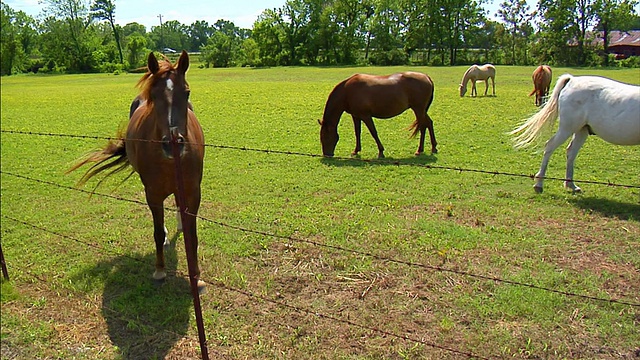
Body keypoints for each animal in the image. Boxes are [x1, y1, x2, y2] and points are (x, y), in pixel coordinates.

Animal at [68, 50, 204, 290]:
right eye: (154, 96)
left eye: (186, 92)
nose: (173, 143)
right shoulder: (153, 194)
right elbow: (157, 232)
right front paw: (160, 270)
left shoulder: (193, 192)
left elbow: (192, 235)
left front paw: (196, 278)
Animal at [510, 73, 640, 193]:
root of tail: (572, 80)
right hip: (567, 128)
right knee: (550, 146)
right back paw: (539, 184)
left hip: (582, 130)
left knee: (571, 152)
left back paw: (571, 185)